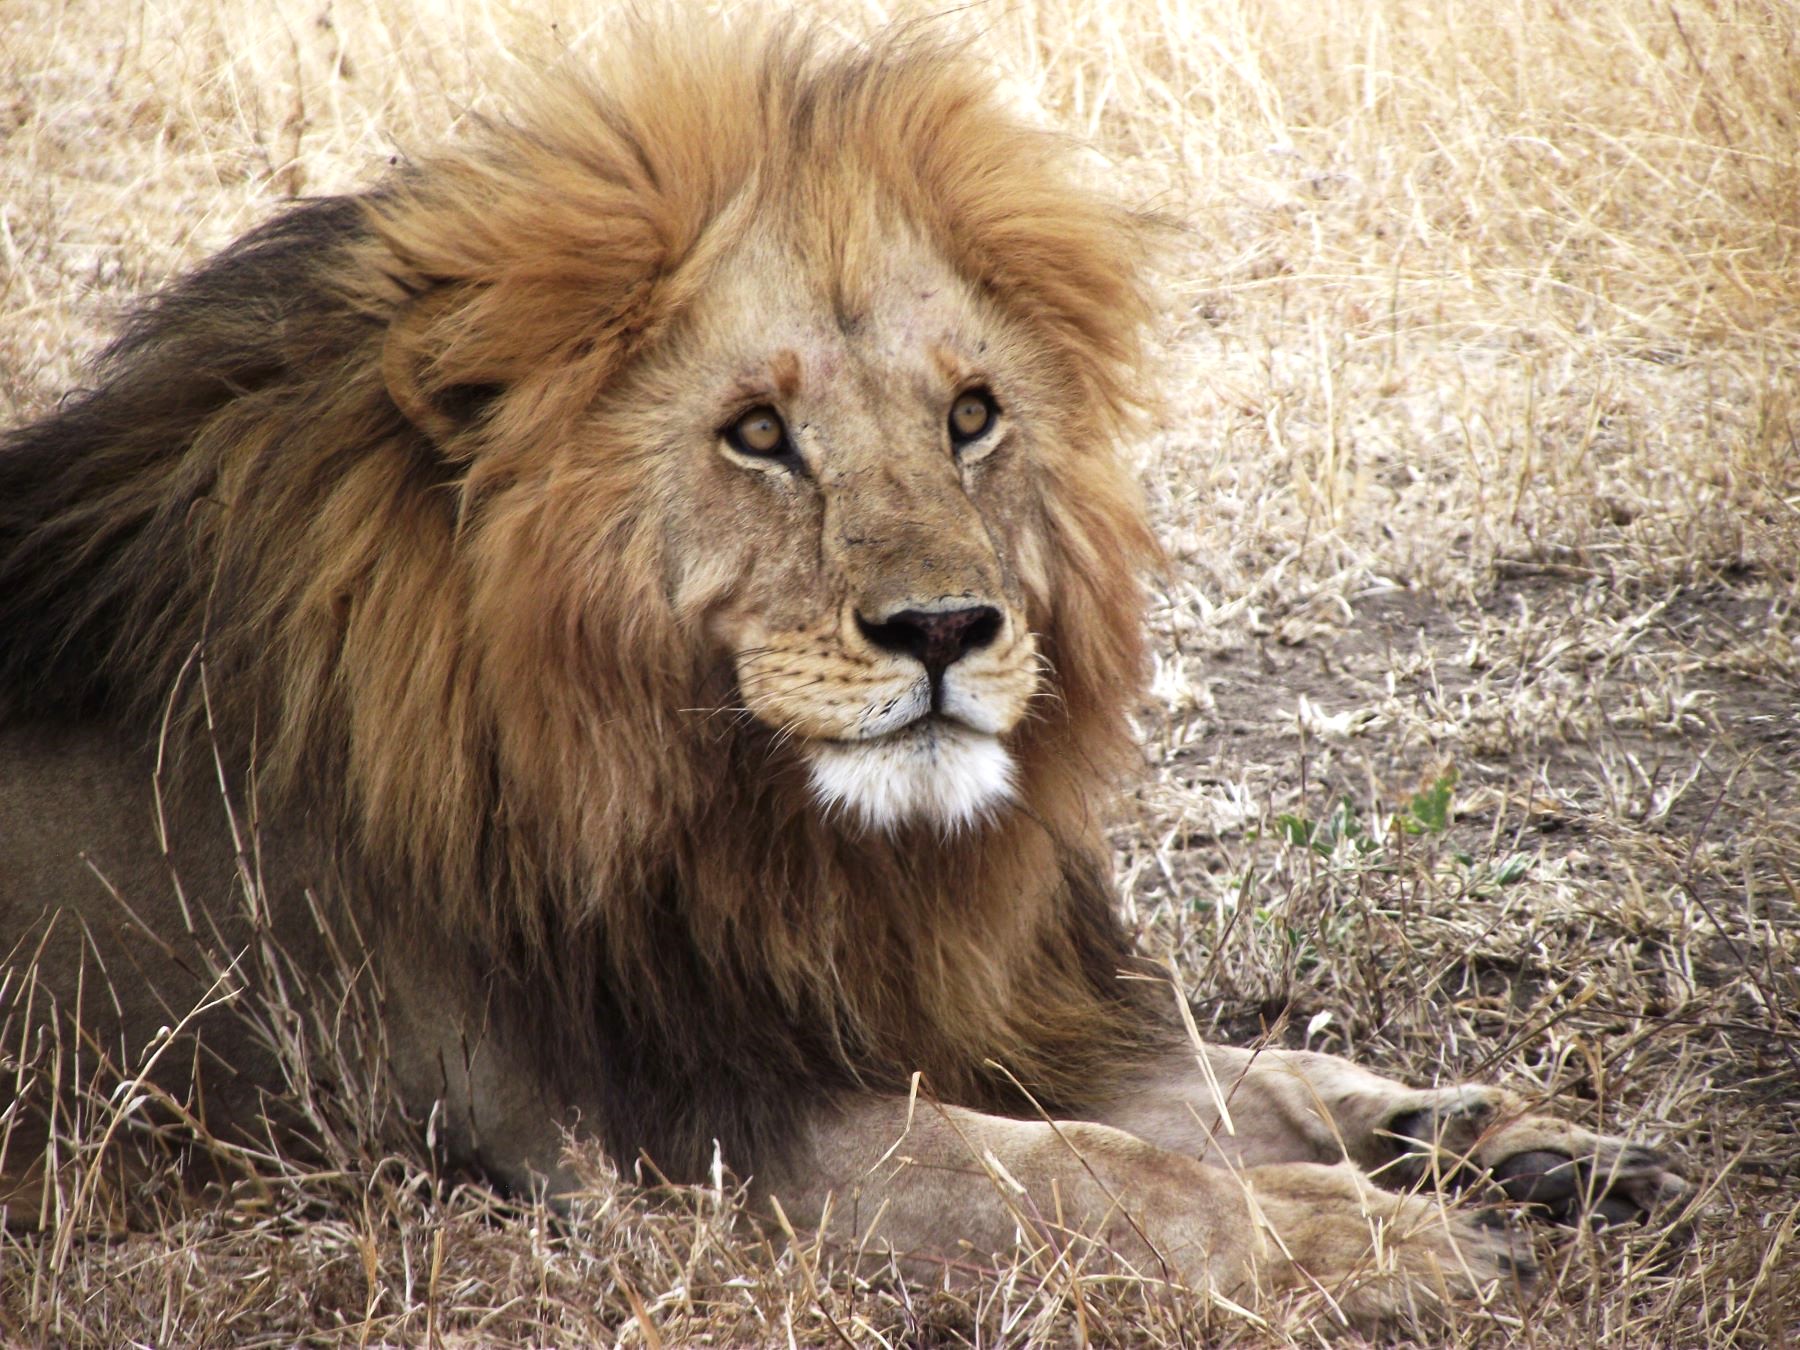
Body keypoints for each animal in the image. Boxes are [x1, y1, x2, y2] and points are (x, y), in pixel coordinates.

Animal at [0, 19, 1683, 1323]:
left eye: (971, 417)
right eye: (759, 434)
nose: (944, 628)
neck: (751, 820)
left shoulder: (895, 1003)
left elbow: (1239, 1079)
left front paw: (1502, 1134)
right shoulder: (657, 1138)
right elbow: (1083, 1173)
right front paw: (1368, 1232)